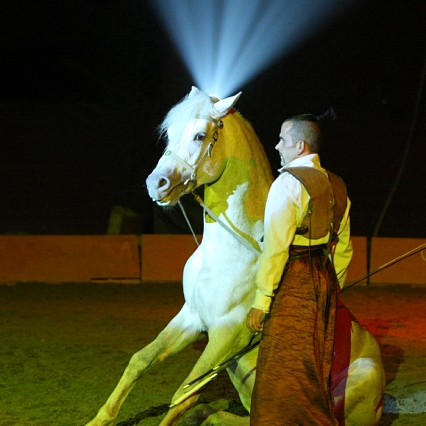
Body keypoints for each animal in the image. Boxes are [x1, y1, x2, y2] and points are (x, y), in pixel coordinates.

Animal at [85, 86, 384, 426]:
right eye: (170, 133)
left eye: (200, 136)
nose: (155, 183)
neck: (230, 250)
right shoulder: (192, 317)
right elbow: (141, 360)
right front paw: (98, 420)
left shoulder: (227, 336)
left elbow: (183, 395)